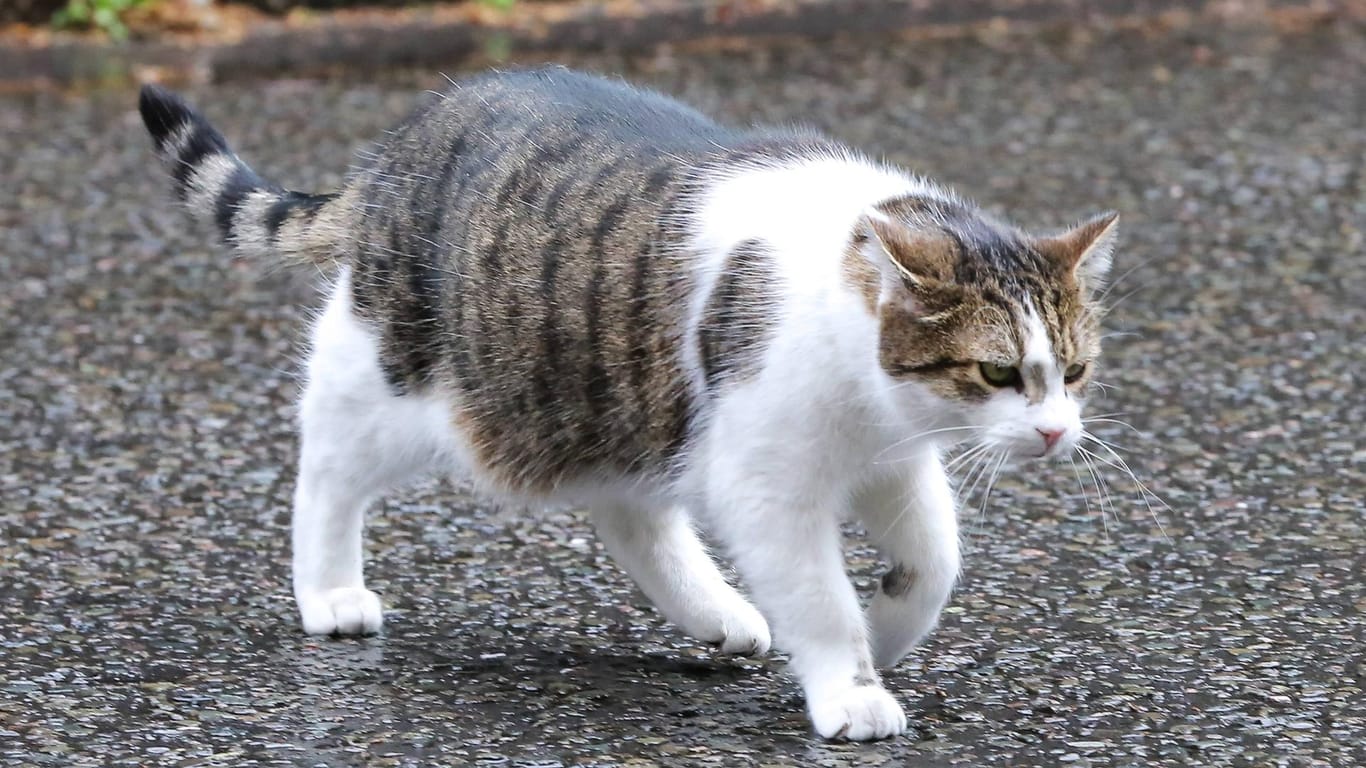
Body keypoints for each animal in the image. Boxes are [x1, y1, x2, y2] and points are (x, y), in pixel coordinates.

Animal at [138, 68, 1120, 737]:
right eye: (999, 373)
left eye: (1073, 371)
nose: (1055, 434)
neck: (870, 397)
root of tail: (401, 142)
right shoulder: (766, 479)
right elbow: (818, 594)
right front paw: (850, 683)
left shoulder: (888, 458)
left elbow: (935, 561)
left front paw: (885, 632)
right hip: (397, 376)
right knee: (327, 468)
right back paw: (330, 590)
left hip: (616, 398)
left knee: (630, 513)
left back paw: (717, 613)